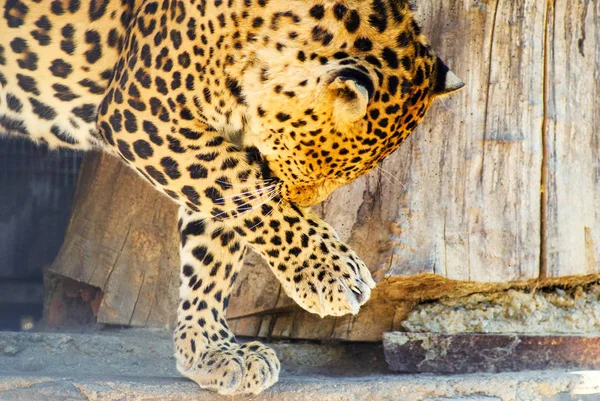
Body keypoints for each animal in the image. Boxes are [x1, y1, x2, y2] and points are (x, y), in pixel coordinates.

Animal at [0, 0, 464, 394]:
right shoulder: (145, 114)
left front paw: (212, 350)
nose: (304, 199)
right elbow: (252, 200)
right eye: (321, 168)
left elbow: (216, 245)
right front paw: (331, 275)